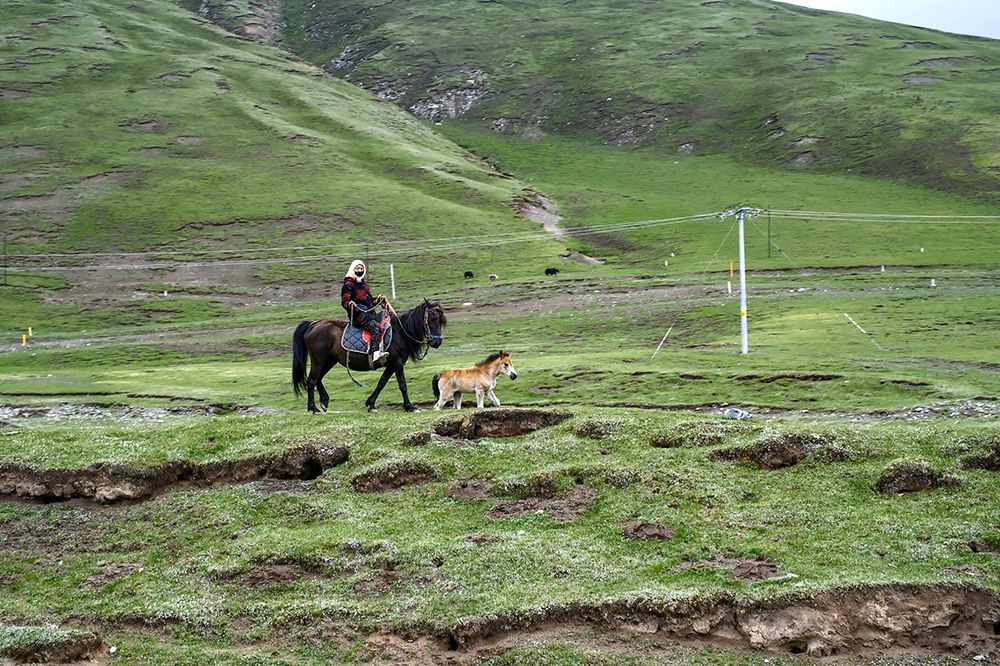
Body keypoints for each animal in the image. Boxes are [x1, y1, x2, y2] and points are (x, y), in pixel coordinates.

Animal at [290, 300, 446, 410]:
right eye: (432, 318)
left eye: (441, 320)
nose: (437, 342)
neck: (400, 333)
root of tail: (313, 324)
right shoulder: (397, 363)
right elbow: (402, 385)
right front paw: (410, 407)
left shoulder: (391, 364)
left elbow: (381, 383)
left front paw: (370, 404)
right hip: (318, 359)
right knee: (311, 380)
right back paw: (313, 408)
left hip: (329, 360)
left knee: (319, 379)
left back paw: (324, 401)